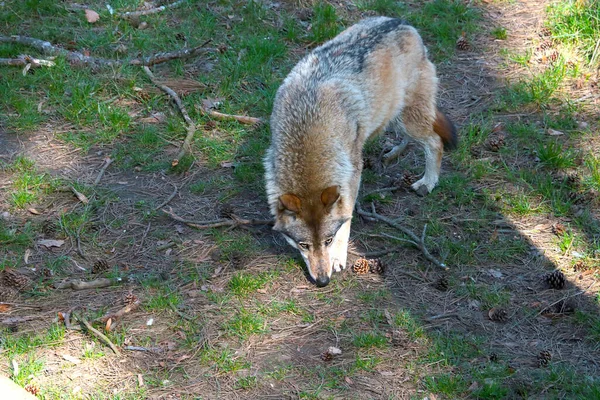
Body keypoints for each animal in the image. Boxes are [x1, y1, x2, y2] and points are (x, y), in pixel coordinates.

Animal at [262, 17, 454, 286]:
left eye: (328, 240)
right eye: (303, 245)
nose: (322, 281)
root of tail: (403, 22)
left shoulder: (352, 174)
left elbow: (346, 220)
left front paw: (338, 258)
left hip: (409, 119)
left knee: (435, 143)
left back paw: (427, 182)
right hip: (394, 117)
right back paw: (393, 153)